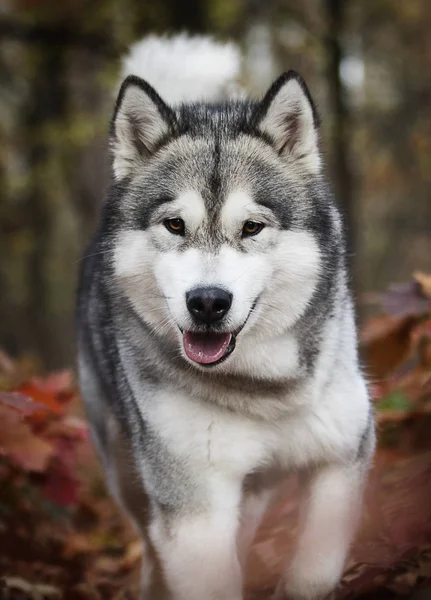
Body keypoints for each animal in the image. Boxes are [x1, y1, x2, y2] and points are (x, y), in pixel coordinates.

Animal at [77, 34, 374, 600]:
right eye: (174, 225)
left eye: (252, 227)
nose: (208, 302)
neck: (263, 392)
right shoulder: (196, 507)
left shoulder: (343, 454)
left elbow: (316, 568)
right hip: (126, 470)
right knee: (149, 539)